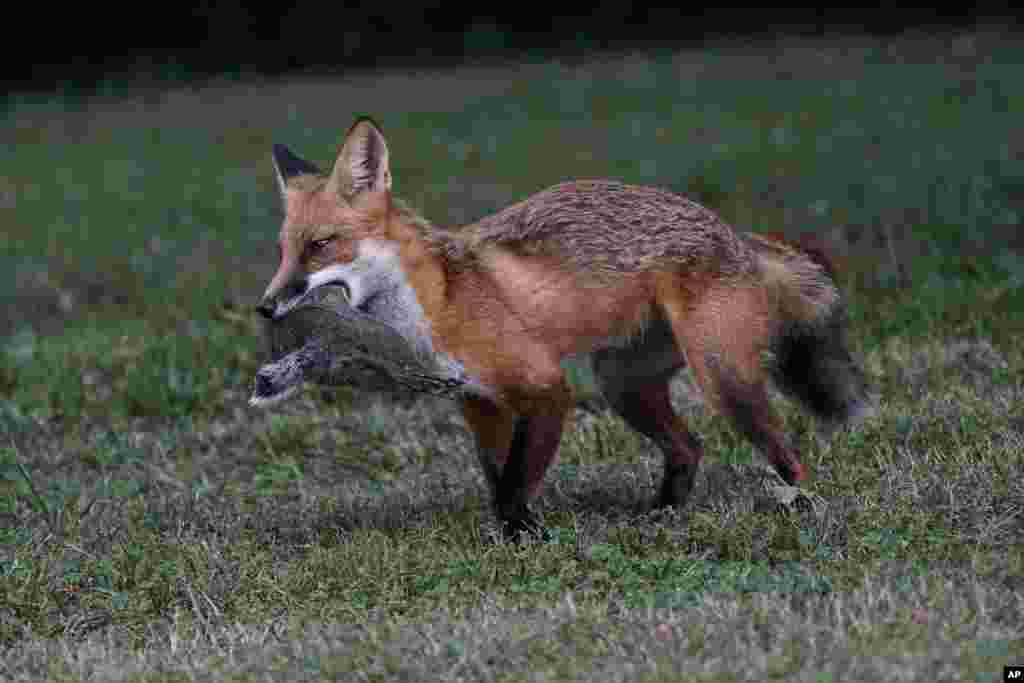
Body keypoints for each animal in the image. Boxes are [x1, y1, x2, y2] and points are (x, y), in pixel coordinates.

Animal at [258, 118, 872, 544]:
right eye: (284, 250)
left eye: (320, 246)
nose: (265, 308)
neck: (438, 302)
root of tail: (735, 235)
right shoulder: (482, 404)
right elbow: (499, 480)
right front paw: (520, 536)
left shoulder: (547, 390)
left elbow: (511, 487)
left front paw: (525, 538)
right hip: (623, 386)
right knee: (690, 448)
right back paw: (662, 515)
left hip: (722, 382)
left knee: (787, 455)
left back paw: (800, 507)